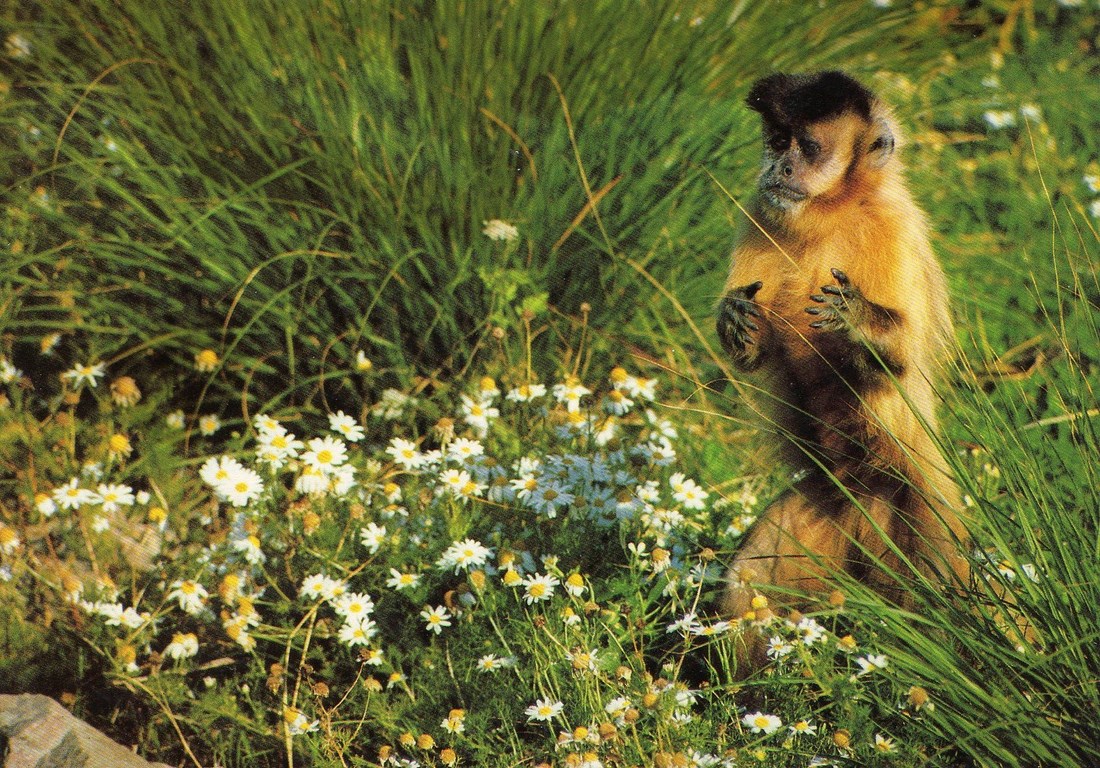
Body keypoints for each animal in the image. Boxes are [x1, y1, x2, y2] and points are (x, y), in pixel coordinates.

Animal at [715, 71, 969, 657]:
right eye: (777, 141)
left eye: (808, 149)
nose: (779, 168)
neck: (833, 215)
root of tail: (861, 495)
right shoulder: (761, 212)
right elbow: (750, 352)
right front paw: (736, 323)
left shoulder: (891, 228)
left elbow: (896, 362)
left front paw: (857, 321)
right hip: (823, 506)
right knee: (747, 587)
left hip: (919, 509)